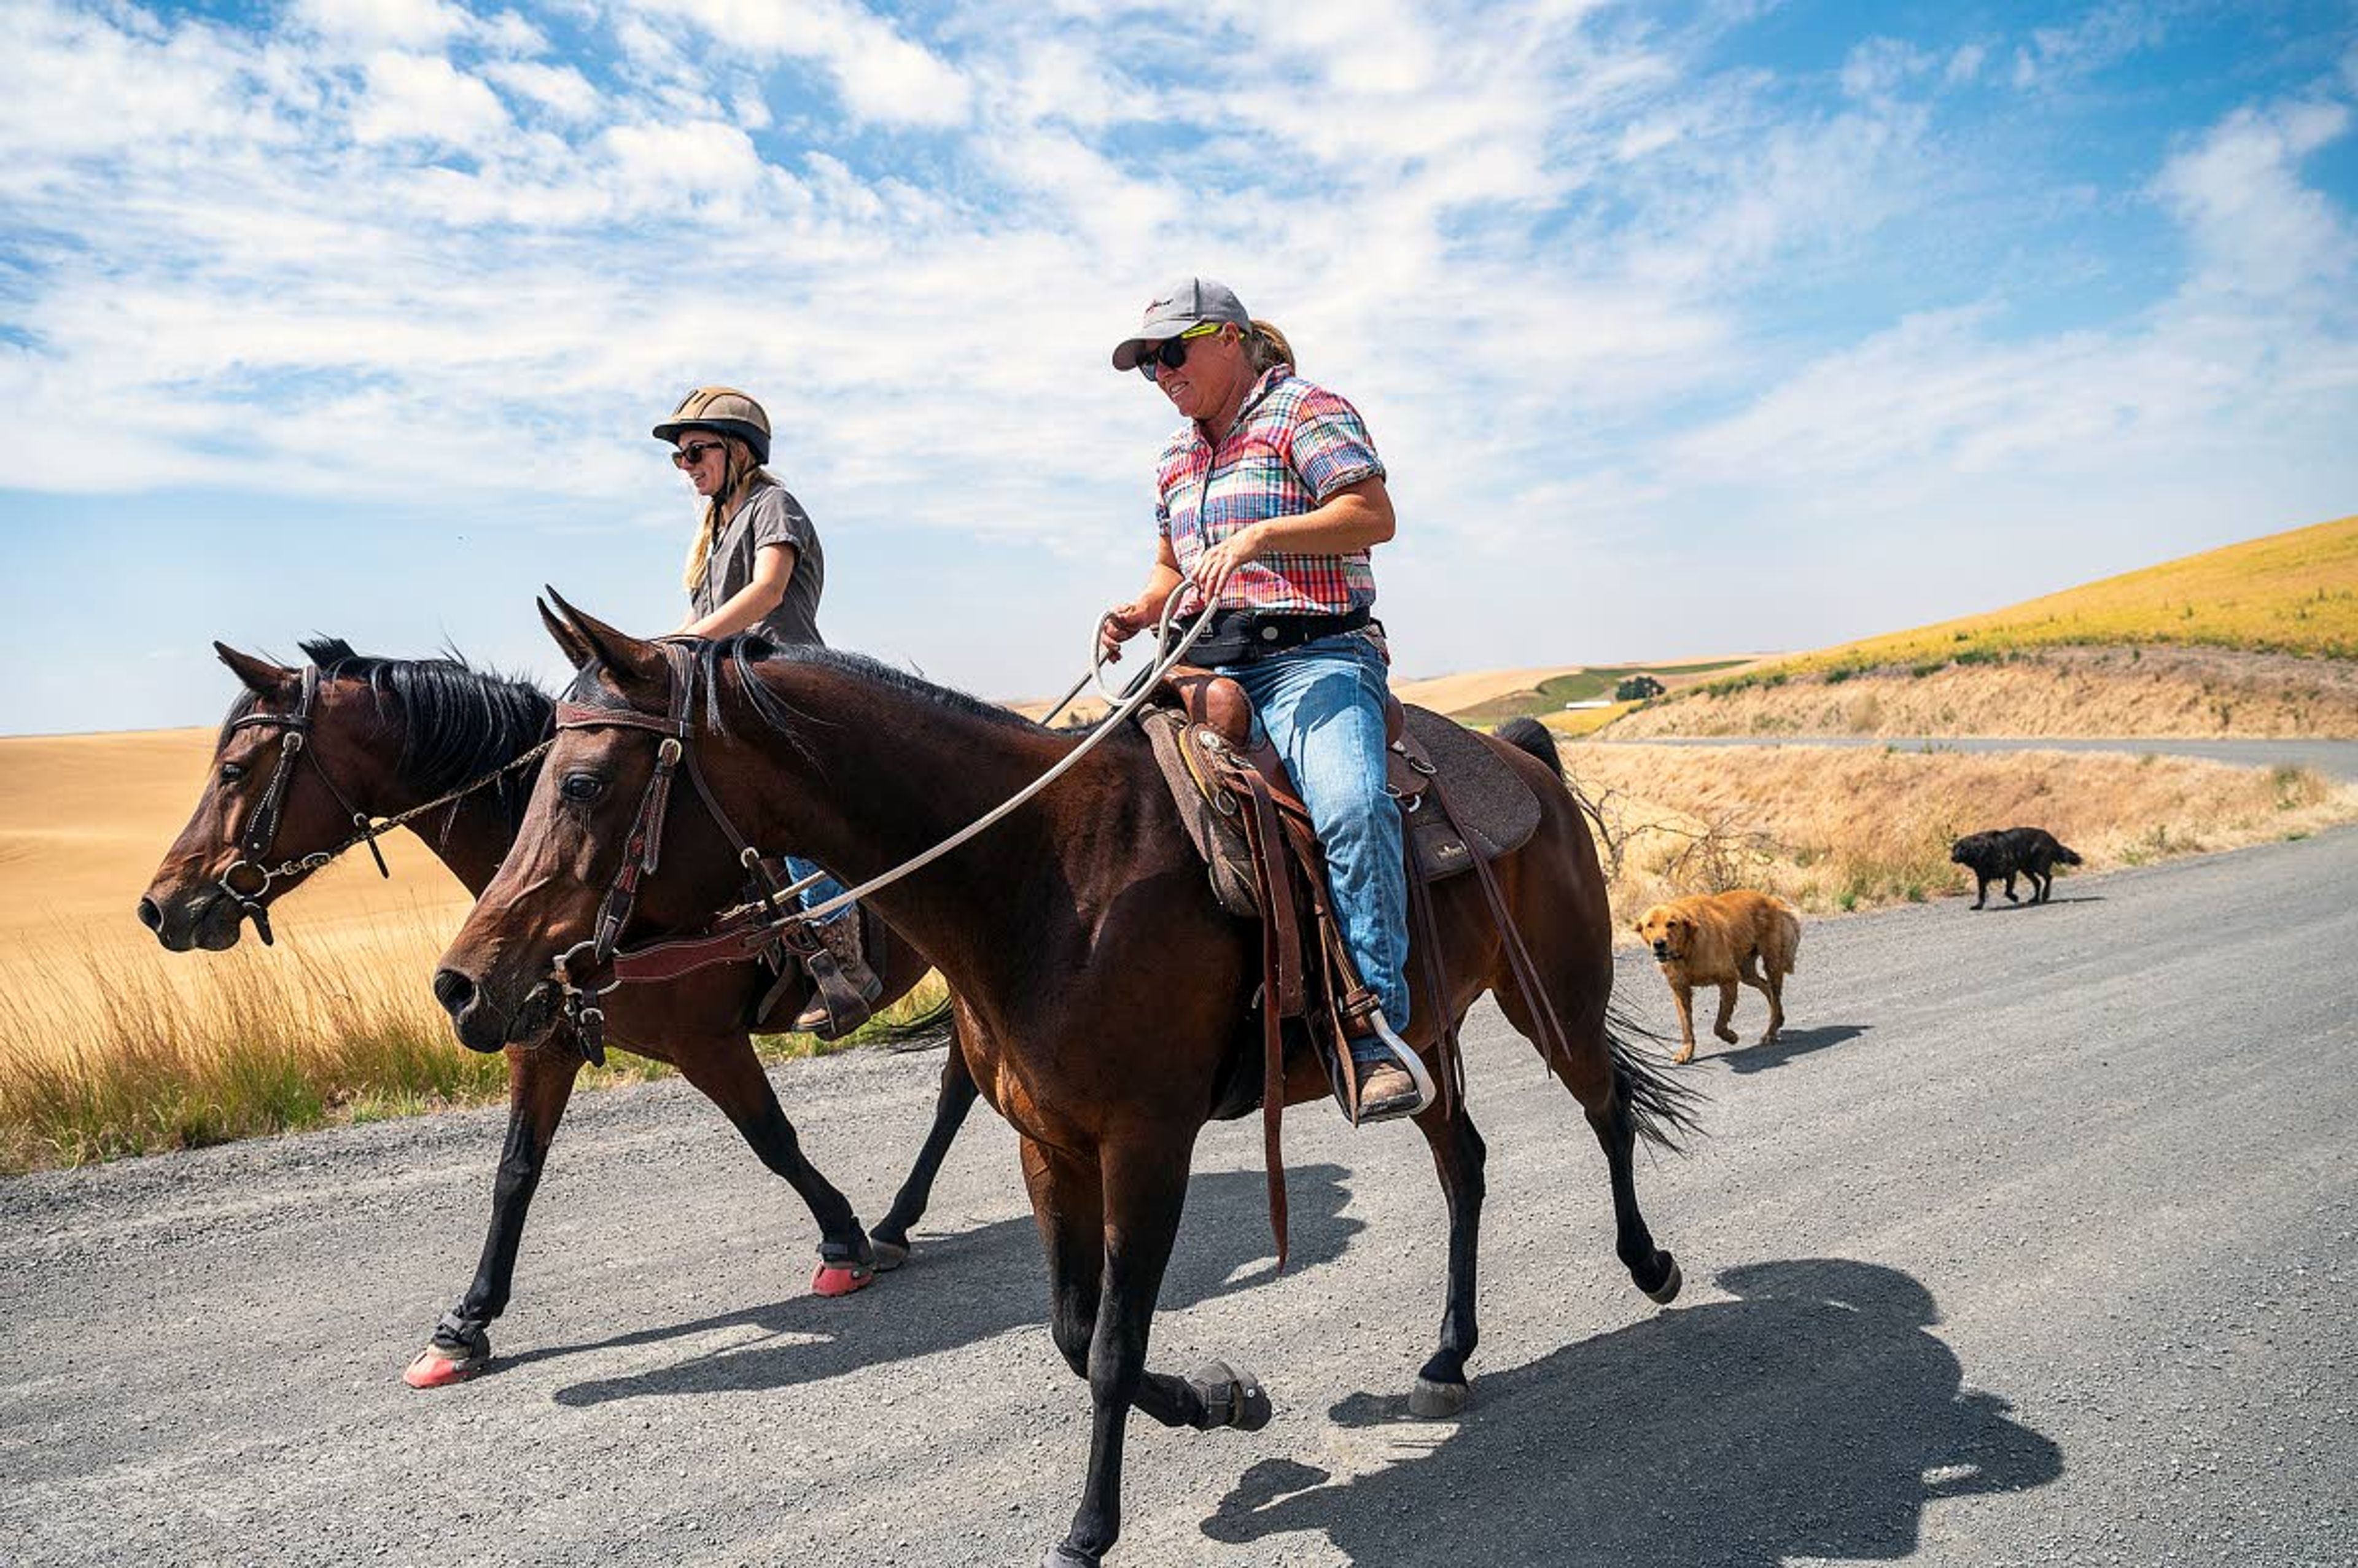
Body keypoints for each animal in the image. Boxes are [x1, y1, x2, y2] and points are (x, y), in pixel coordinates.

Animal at [138, 636, 986, 1386]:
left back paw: (893, 1222)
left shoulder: (705, 1041)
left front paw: (843, 1240)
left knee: (959, 1085)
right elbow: (516, 1173)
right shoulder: (539, 1040)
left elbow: (771, 1138)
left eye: (234, 769)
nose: (160, 906)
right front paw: (464, 1324)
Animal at [438, 596, 1697, 1566]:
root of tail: (1524, 752)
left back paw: (1651, 1264)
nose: (464, 982)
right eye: (535, 778)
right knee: (1467, 1164)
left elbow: (1111, 1340)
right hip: (1428, 1037)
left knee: (1606, 1108)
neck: (1047, 872)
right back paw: (1447, 1355)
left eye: (585, 782)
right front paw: (1221, 1399)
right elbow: (1072, 1326)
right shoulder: (1049, 1142)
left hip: (1553, 995)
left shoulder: (1147, 1141)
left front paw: (1091, 1526)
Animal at [1641, 891, 1801, 1065]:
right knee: (1767, 989)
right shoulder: (1681, 990)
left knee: (1774, 994)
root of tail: (1771, 899)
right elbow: (1686, 1026)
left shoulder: (1728, 979)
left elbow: (1719, 1025)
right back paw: (1778, 1020)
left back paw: (1770, 1032)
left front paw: (1731, 1037)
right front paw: (1687, 1052)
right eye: (1650, 925)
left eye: (1671, 924)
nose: (1658, 944)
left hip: (1771, 964)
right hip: (1746, 973)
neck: (1687, 949)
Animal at [1952, 825, 2084, 910]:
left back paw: (2045, 895)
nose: (1952, 857)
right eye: (1954, 849)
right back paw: (2035, 899)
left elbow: (2007, 891)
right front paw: (1978, 906)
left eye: (1963, 849)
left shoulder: (2010, 872)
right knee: (2037, 882)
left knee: (2048, 877)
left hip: (2038, 866)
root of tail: (2053, 840)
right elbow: (1981, 893)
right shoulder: (1982, 878)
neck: (1985, 852)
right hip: (2027, 869)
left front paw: (2015, 898)